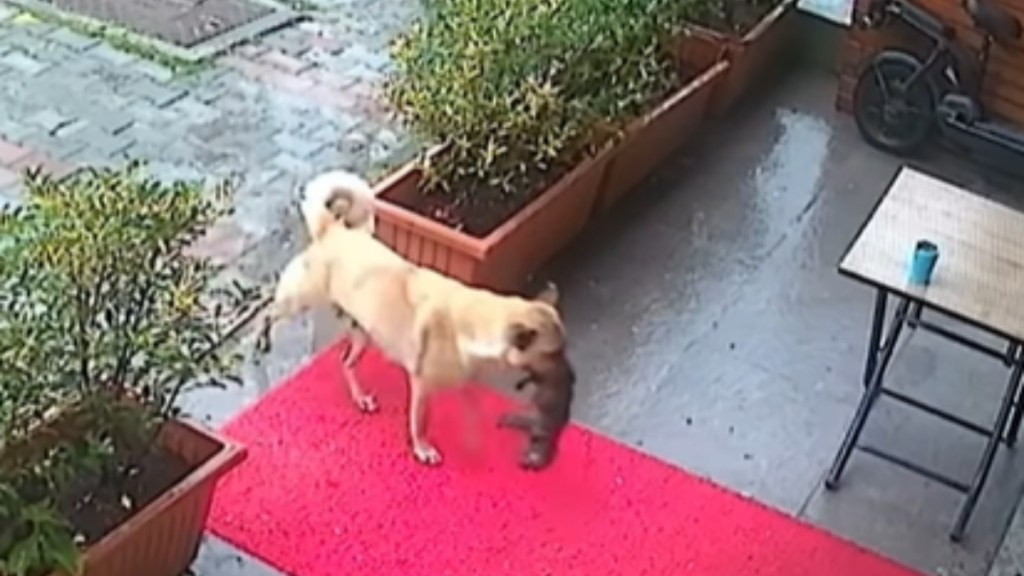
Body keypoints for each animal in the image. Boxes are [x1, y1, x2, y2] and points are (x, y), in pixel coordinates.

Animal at [256, 169, 573, 461]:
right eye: (552, 354)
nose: (570, 378)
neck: (474, 323)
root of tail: (332, 229)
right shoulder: (420, 386)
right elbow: (419, 422)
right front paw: (422, 448)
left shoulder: (464, 381)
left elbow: (472, 407)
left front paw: (473, 437)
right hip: (297, 301)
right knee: (269, 312)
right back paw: (261, 338)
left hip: (363, 334)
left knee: (346, 362)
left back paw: (360, 398)